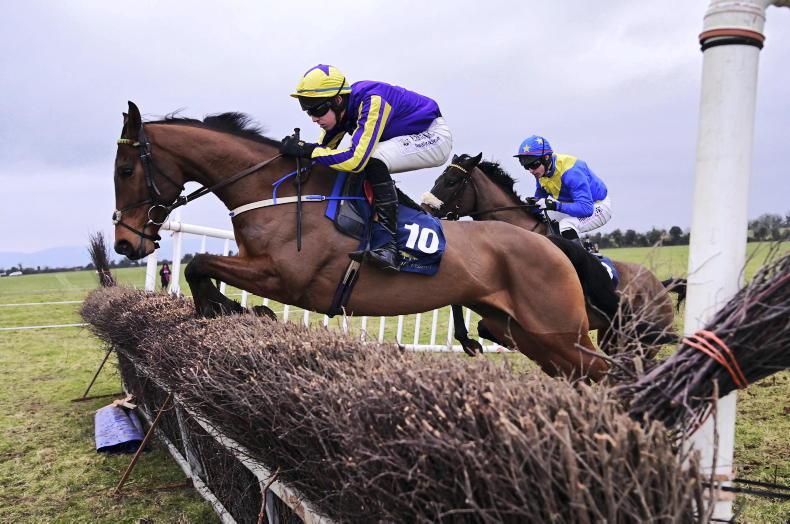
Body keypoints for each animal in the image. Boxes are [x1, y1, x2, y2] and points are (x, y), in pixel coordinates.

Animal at [112, 102, 609, 380]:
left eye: (126, 170)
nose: (125, 245)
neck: (276, 191)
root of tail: (550, 245)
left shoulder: (285, 276)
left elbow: (198, 265)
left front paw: (230, 307)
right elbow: (201, 268)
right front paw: (233, 308)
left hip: (558, 329)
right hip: (522, 331)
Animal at [421, 153, 684, 352]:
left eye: (452, 181)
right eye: (438, 178)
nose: (425, 209)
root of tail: (661, 285)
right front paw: (471, 340)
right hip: (613, 337)